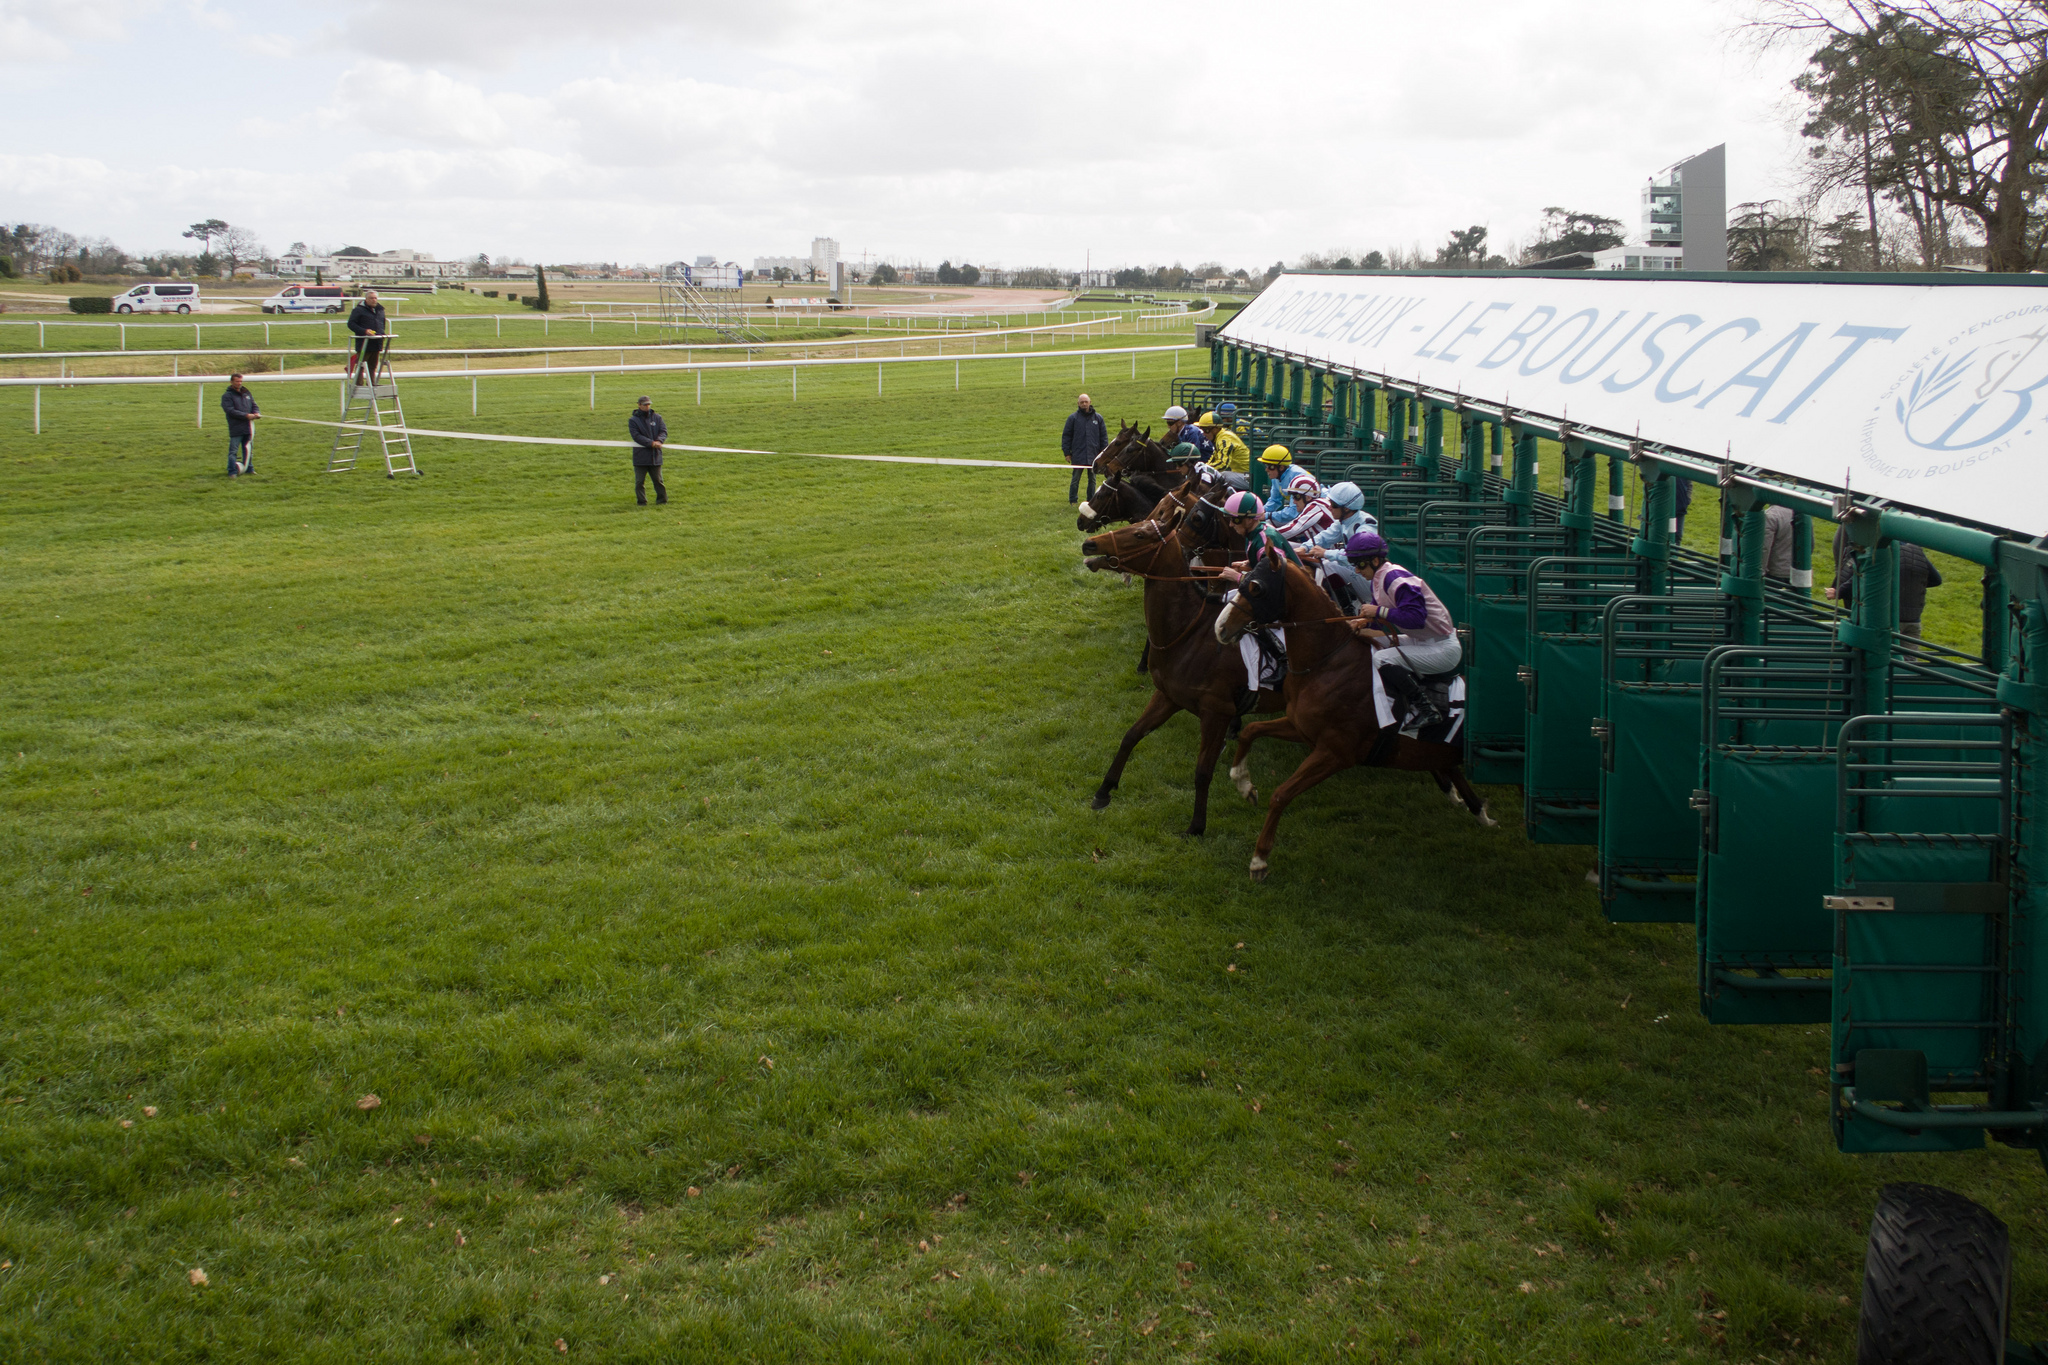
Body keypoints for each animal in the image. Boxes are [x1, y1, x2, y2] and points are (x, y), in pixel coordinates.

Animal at [1073, 507, 1277, 839]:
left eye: (1139, 535)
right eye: (1137, 525)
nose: (1090, 544)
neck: (1192, 631)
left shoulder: (1215, 712)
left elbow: (1203, 771)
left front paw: (1196, 826)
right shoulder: (1168, 695)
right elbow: (1131, 735)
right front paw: (1104, 790)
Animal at [1212, 548, 1490, 879]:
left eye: (1256, 587)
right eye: (1243, 582)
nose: (1220, 627)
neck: (1327, 663)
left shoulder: (1336, 753)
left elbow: (1281, 794)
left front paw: (1259, 859)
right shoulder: (1300, 726)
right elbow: (1250, 731)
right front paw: (1243, 782)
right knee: (1450, 767)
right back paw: (1477, 810)